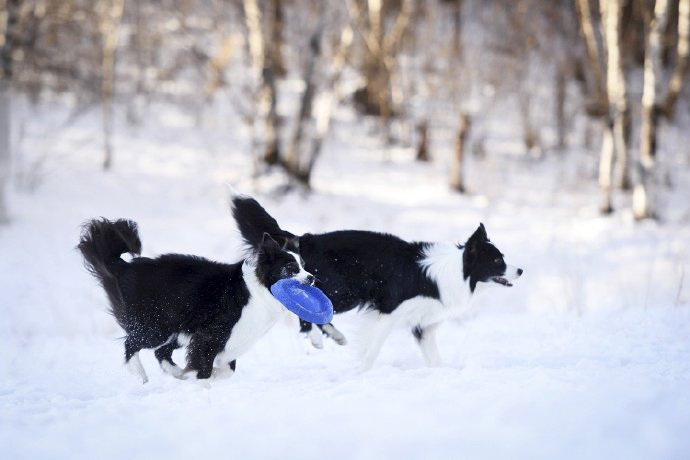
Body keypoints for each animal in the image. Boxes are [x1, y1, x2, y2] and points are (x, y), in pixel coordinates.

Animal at [77, 217, 312, 382]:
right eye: (291, 268)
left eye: (304, 266)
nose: (311, 278)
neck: (259, 288)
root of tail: (124, 267)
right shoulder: (211, 334)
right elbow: (204, 365)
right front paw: (203, 385)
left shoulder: (225, 339)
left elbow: (227, 369)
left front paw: (204, 376)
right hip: (157, 326)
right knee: (131, 344)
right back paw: (141, 375)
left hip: (178, 328)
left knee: (161, 352)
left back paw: (178, 373)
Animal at [228, 193, 520, 370]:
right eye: (497, 260)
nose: (520, 271)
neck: (456, 271)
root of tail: (306, 239)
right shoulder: (387, 311)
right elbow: (372, 348)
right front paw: (360, 370)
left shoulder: (423, 325)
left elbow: (434, 358)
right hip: (340, 291)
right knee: (306, 311)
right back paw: (319, 339)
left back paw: (335, 336)